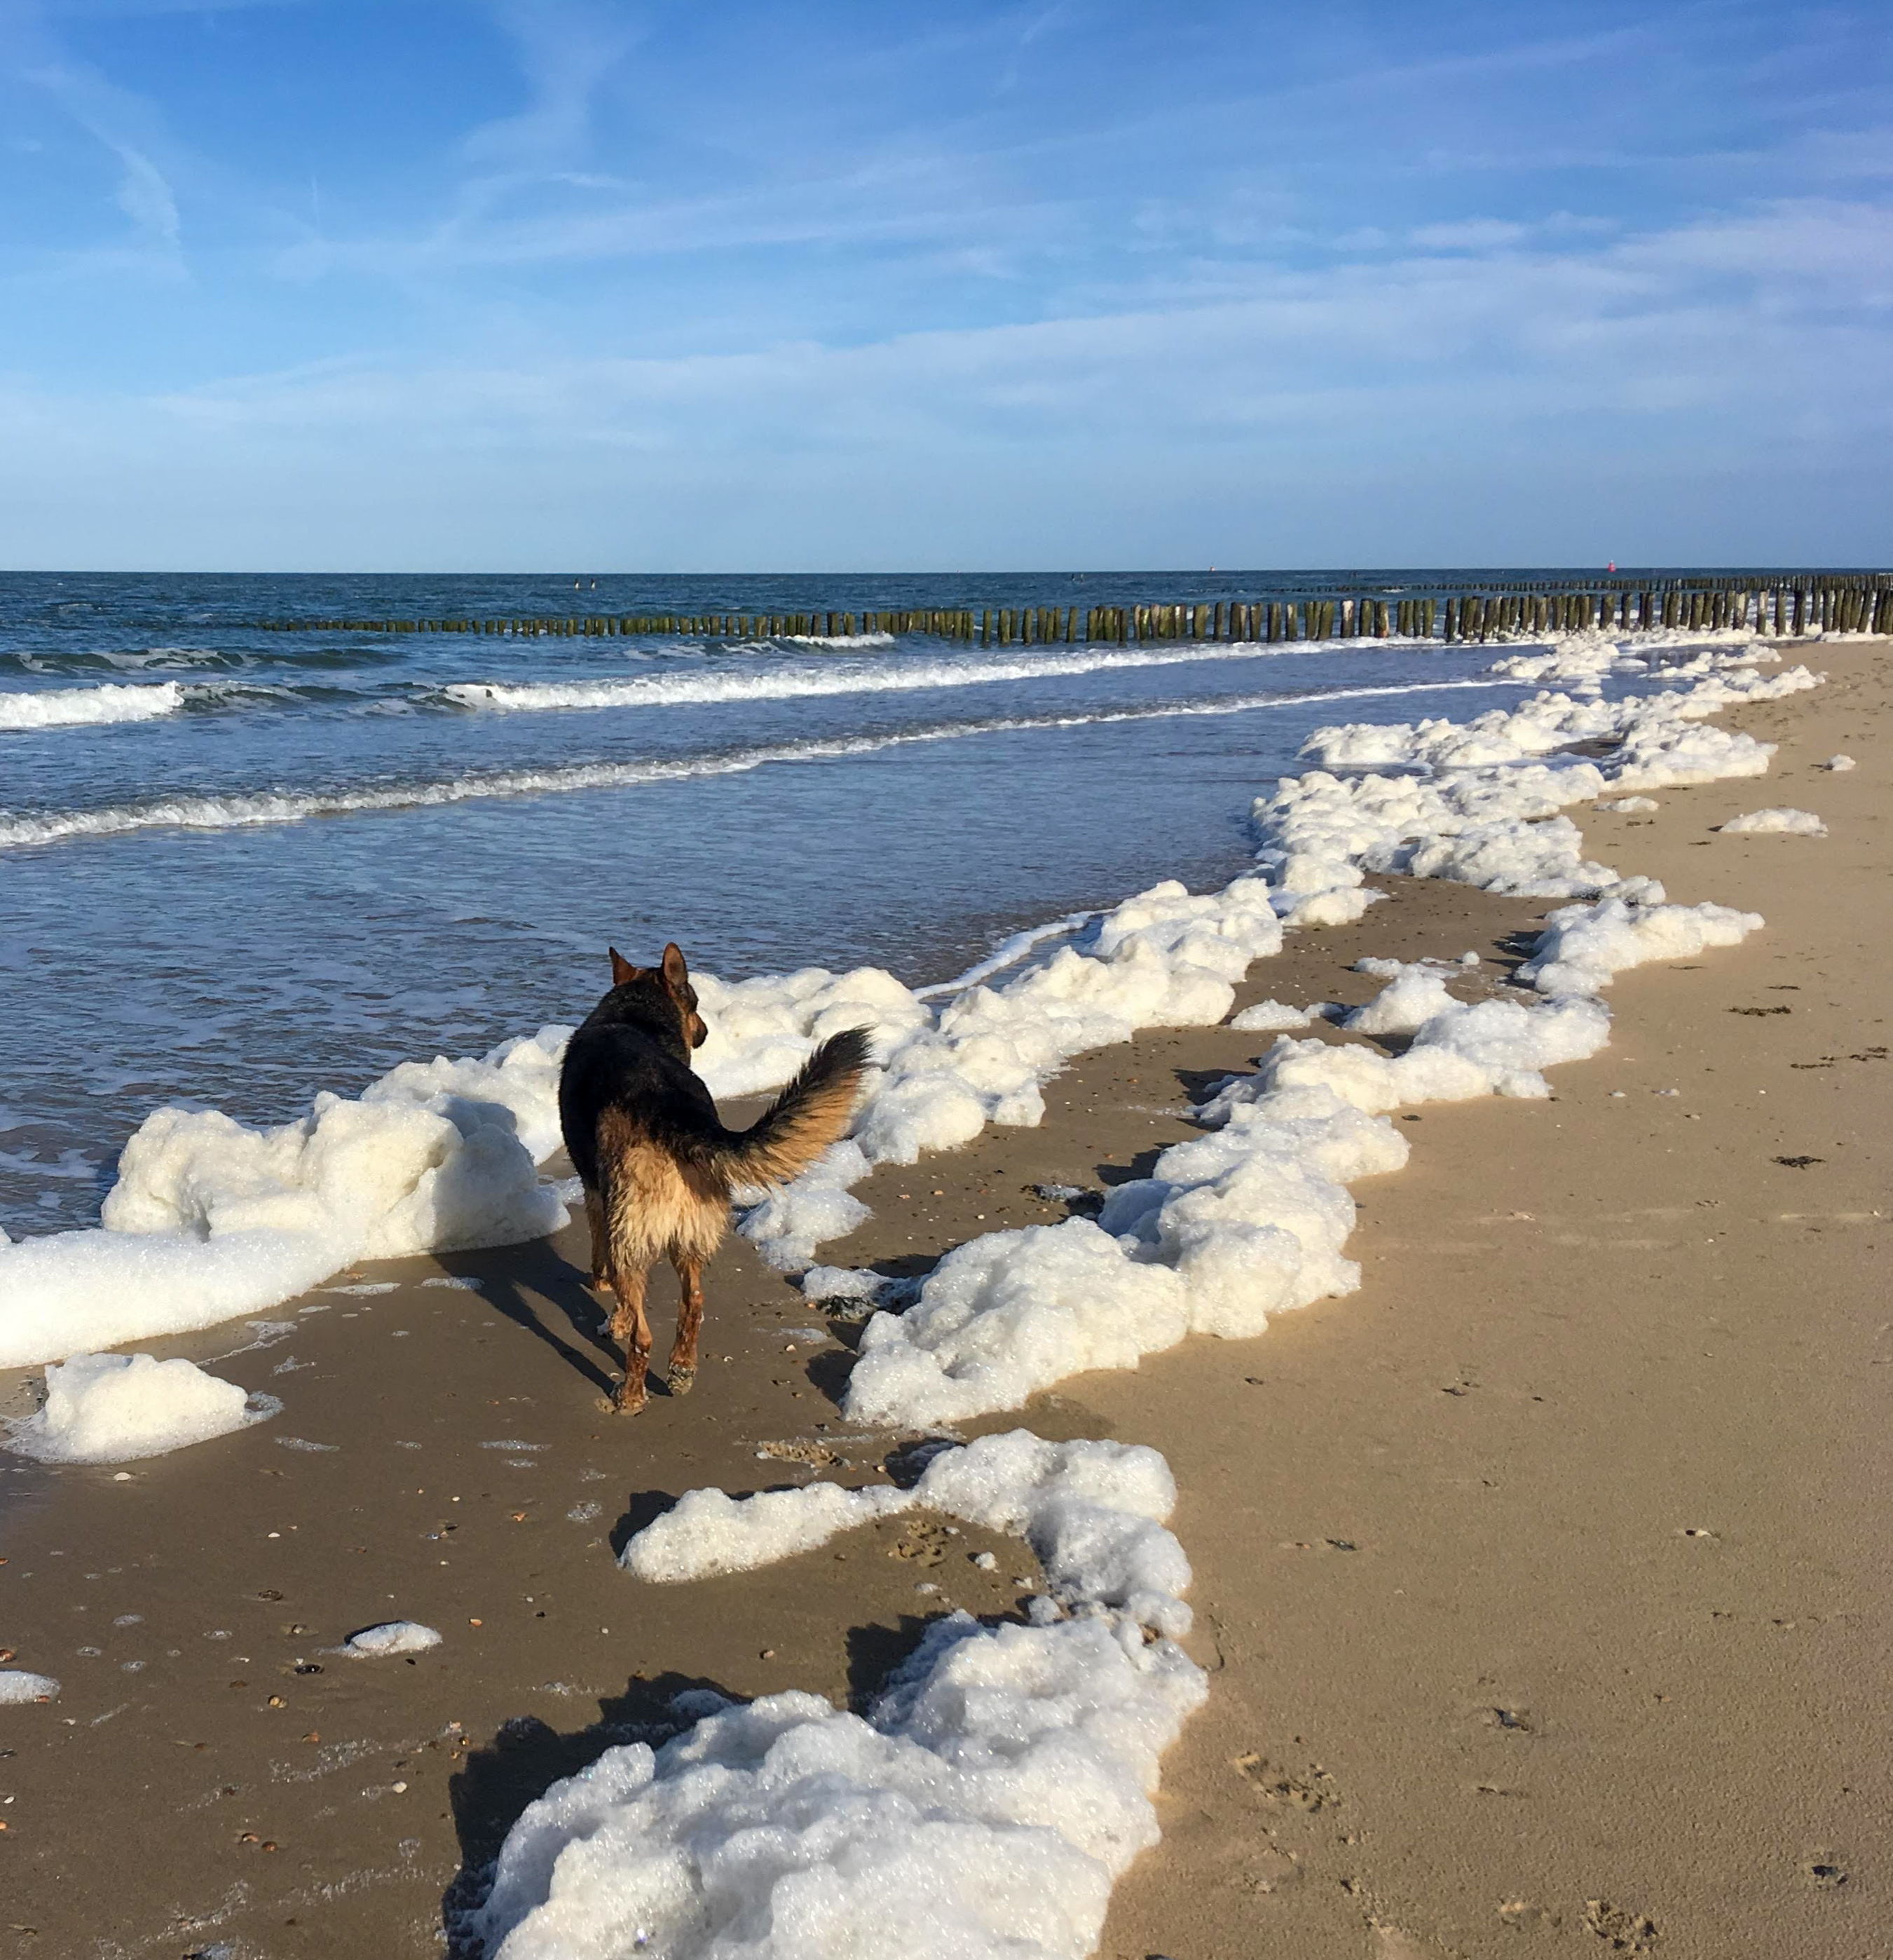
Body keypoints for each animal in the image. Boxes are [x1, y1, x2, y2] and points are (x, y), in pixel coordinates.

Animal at [552, 944, 870, 1411]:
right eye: (697, 1005)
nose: (704, 1033)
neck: (636, 1014)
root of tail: (675, 1111)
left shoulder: (596, 1194)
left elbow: (600, 1257)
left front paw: (609, 1310)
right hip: (692, 1231)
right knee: (695, 1303)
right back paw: (682, 1369)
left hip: (630, 1232)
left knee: (644, 1335)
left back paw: (630, 1395)